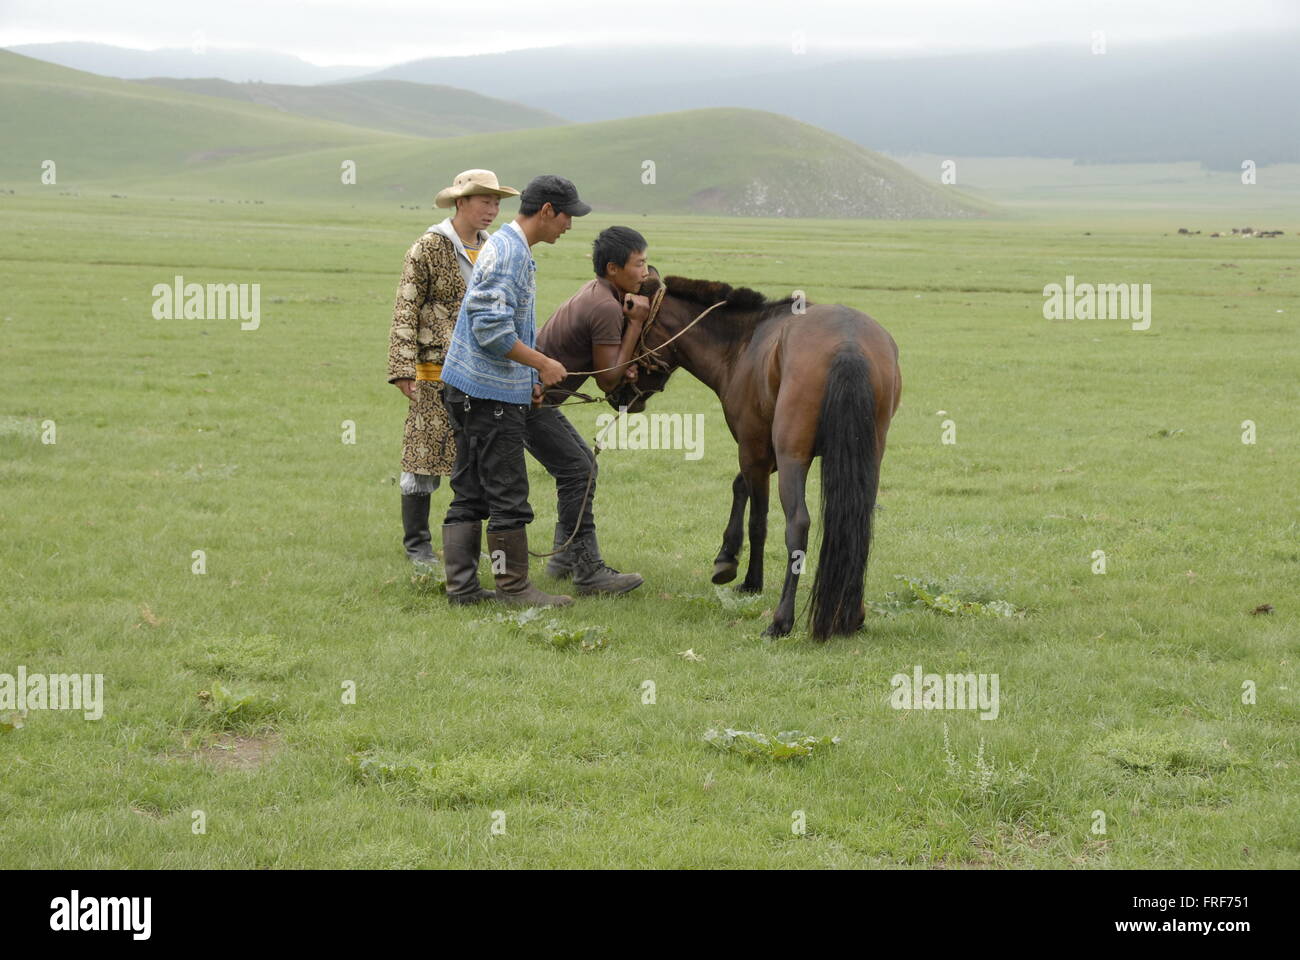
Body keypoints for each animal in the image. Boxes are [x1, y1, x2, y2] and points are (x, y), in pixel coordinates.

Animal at [611, 274, 904, 634]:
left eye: (628, 327)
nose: (617, 392)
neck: (742, 343)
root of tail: (848, 344)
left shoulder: (754, 450)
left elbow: (757, 519)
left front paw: (749, 577)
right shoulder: (765, 451)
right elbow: (741, 488)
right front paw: (727, 556)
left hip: (793, 457)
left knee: (798, 525)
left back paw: (781, 620)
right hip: (867, 458)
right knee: (857, 524)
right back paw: (852, 615)